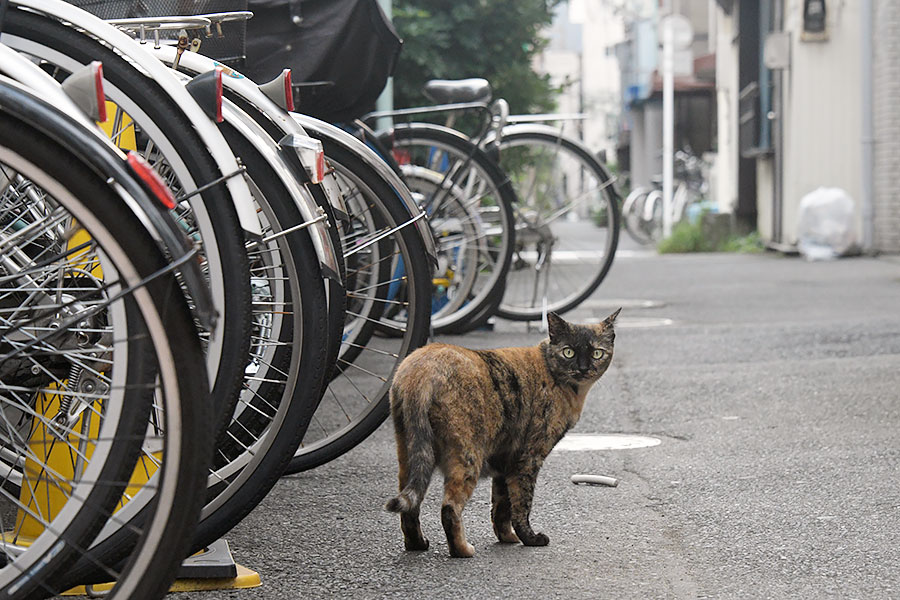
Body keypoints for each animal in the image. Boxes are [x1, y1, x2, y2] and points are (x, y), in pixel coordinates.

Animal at [384, 310, 616, 556]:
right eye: (568, 351)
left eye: (597, 353)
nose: (583, 368)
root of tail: (422, 371)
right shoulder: (527, 458)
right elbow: (522, 504)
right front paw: (530, 538)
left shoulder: (505, 460)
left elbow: (501, 506)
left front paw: (507, 537)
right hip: (468, 457)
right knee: (449, 508)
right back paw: (462, 550)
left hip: (411, 453)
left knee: (410, 508)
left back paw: (417, 544)